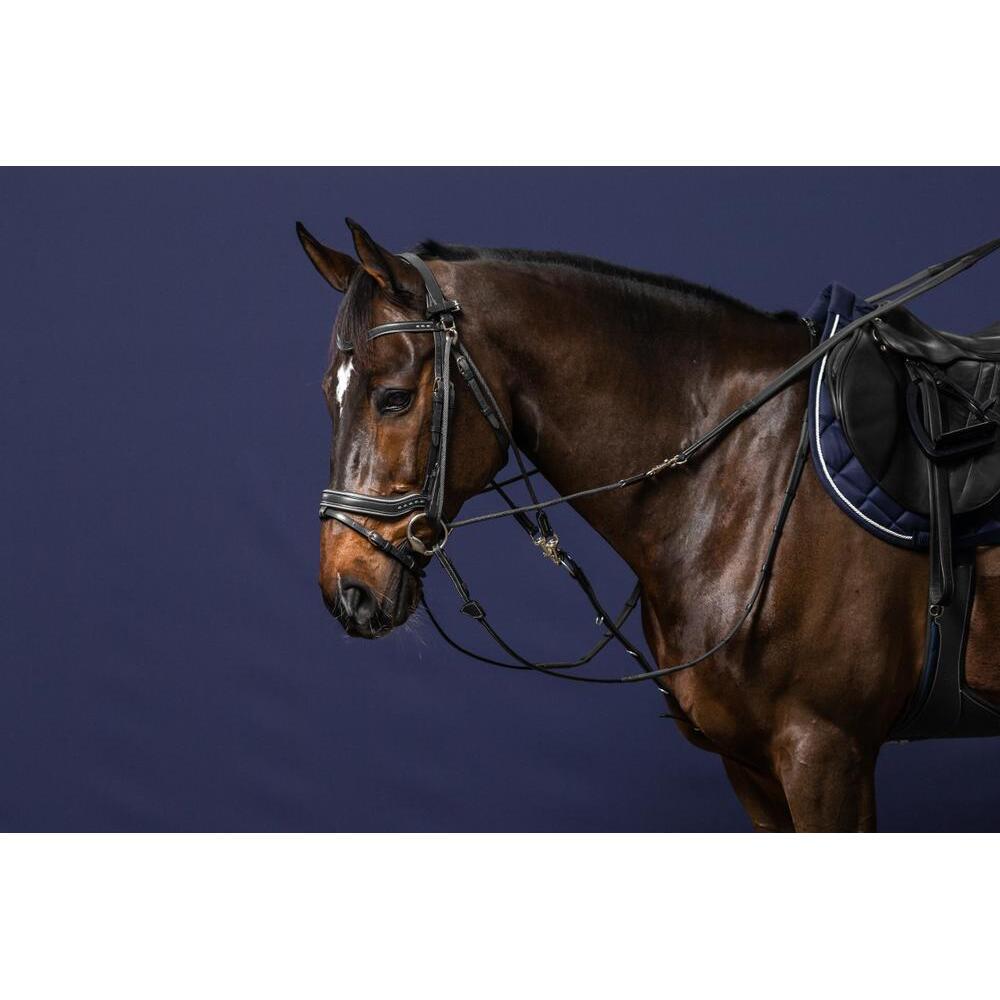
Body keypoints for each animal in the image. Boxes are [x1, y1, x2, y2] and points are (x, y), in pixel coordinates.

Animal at [297, 218, 1000, 832]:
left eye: (393, 398)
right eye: (331, 394)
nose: (347, 589)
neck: (745, 472)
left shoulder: (828, 752)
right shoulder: (750, 765)